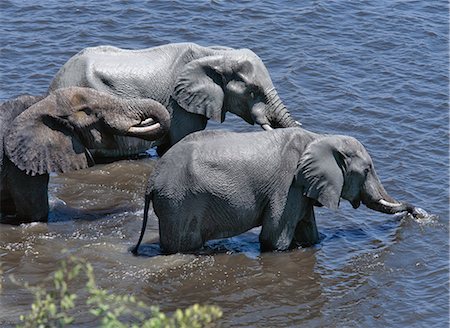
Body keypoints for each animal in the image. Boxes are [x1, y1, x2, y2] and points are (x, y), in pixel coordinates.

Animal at [131, 127, 418, 255]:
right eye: (367, 170)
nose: (416, 211)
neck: (320, 138)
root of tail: (152, 180)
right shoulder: (287, 185)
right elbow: (274, 240)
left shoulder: (300, 189)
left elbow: (309, 232)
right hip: (179, 203)